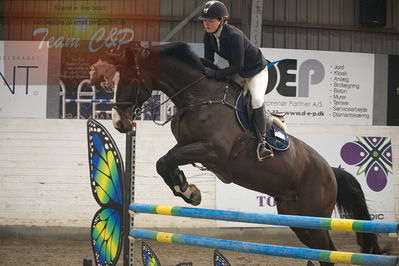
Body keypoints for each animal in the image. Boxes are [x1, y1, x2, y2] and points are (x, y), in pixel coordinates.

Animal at [90, 42, 388, 264]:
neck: (196, 97)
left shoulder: (213, 151)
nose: (119, 123)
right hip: (296, 217)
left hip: (314, 215)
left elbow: (166, 160)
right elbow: (164, 163)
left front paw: (188, 191)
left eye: (129, 79)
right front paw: (188, 191)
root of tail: (331, 171)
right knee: (322, 250)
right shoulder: (189, 147)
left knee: (329, 252)